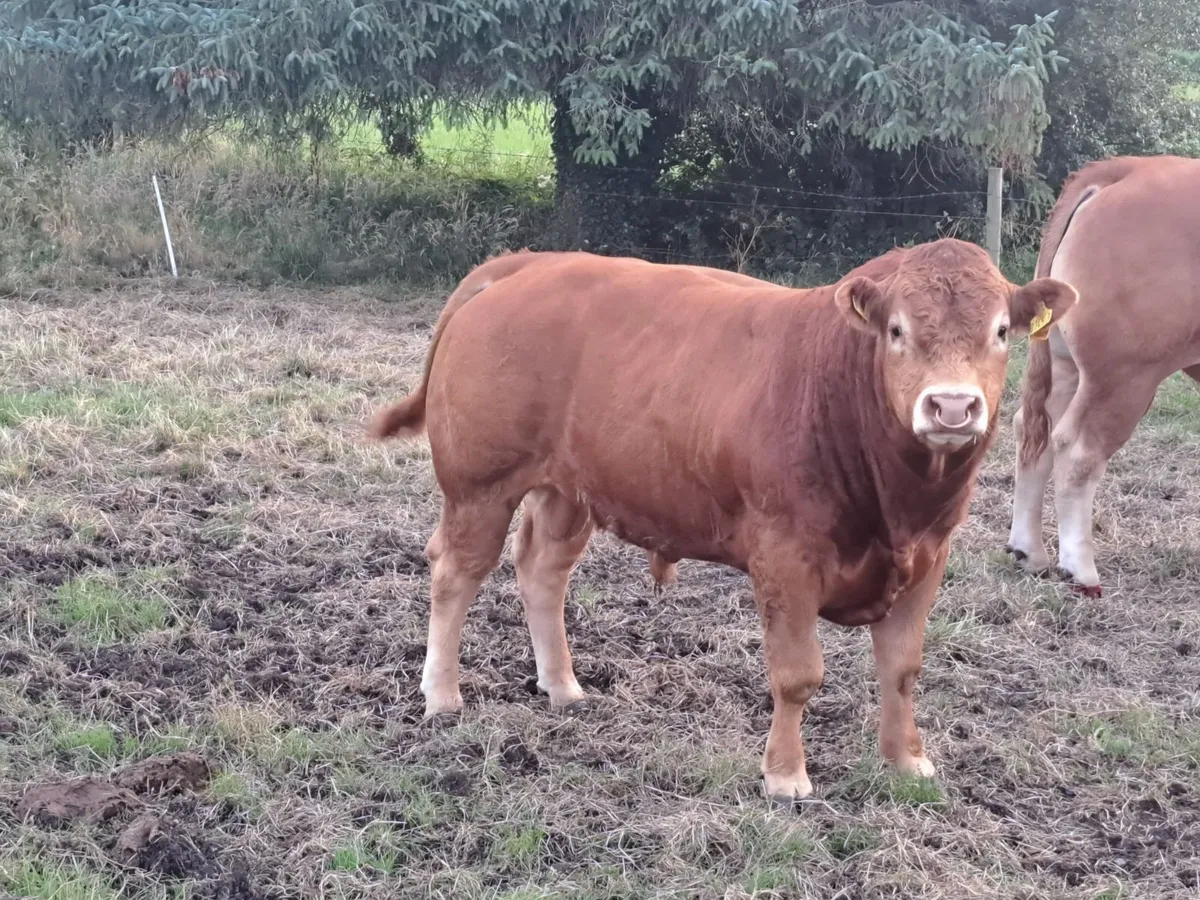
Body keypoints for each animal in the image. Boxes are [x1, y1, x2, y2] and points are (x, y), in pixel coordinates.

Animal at [368, 240, 1077, 804]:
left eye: (1002, 332)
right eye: (897, 330)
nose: (952, 407)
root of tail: (529, 262)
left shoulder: (929, 556)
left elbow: (901, 669)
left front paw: (907, 760)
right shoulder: (785, 558)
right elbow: (797, 675)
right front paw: (785, 775)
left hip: (570, 490)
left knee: (542, 573)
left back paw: (563, 686)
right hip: (479, 486)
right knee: (454, 575)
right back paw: (442, 695)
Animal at [1006, 155, 1200, 596]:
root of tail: (1128, 169)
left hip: (1066, 366)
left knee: (1034, 431)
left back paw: (1029, 552)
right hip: (1125, 377)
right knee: (1077, 452)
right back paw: (1080, 570)